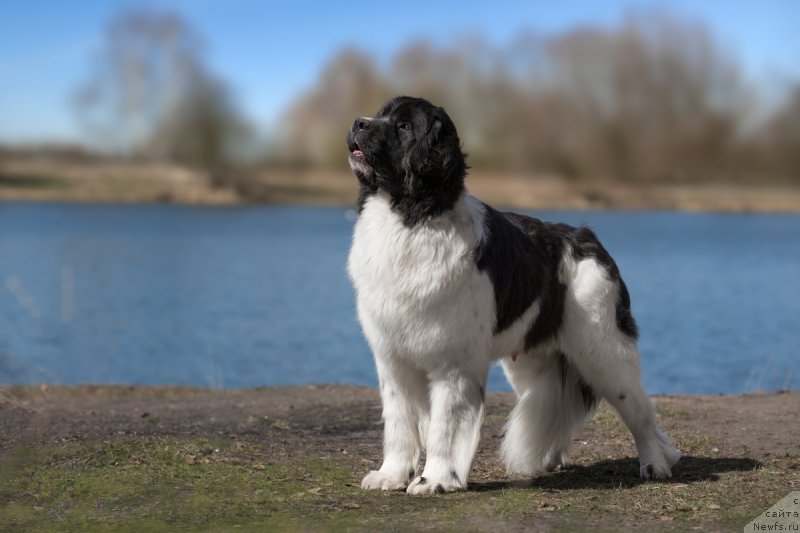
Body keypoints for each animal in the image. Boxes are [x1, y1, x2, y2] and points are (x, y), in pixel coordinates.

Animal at [346, 96, 680, 494]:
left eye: (405, 126)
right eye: (381, 115)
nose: (358, 123)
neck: (412, 221)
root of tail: (587, 238)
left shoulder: (454, 363)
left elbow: (445, 427)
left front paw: (436, 480)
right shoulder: (392, 358)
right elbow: (400, 422)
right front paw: (391, 475)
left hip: (606, 353)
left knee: (642, 414)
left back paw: (655, 464)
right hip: (531, 363)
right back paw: (551, 461)